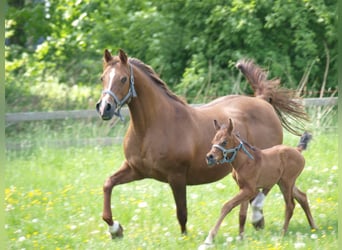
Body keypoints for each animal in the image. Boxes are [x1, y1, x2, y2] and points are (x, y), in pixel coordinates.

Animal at [94, 48, 308, 238]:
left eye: (123, 79)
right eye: (102, 78)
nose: (105, 108)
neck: (152, 127)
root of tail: (263, 101)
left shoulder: (177, 176)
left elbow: (182, 212)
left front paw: (185, 238)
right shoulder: (136, 170)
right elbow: (107, 184)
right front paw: (115, 230)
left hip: (267, 163)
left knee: (265, 192)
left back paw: (257, 217)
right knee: (292, 194)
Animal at [202, 118, 316, 246]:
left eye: (224, 142)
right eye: (213, 141)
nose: (209, 157)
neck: (245, 162)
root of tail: (297, 150)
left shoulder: (250, 190)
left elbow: (227, 206)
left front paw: (209, 238)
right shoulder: (243, 188)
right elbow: (242, 214)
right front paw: (241, 238)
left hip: (287, 182)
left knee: (290, 205)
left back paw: (282, 234)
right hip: (284, 183)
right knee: (302, 197)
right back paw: (314, 227)